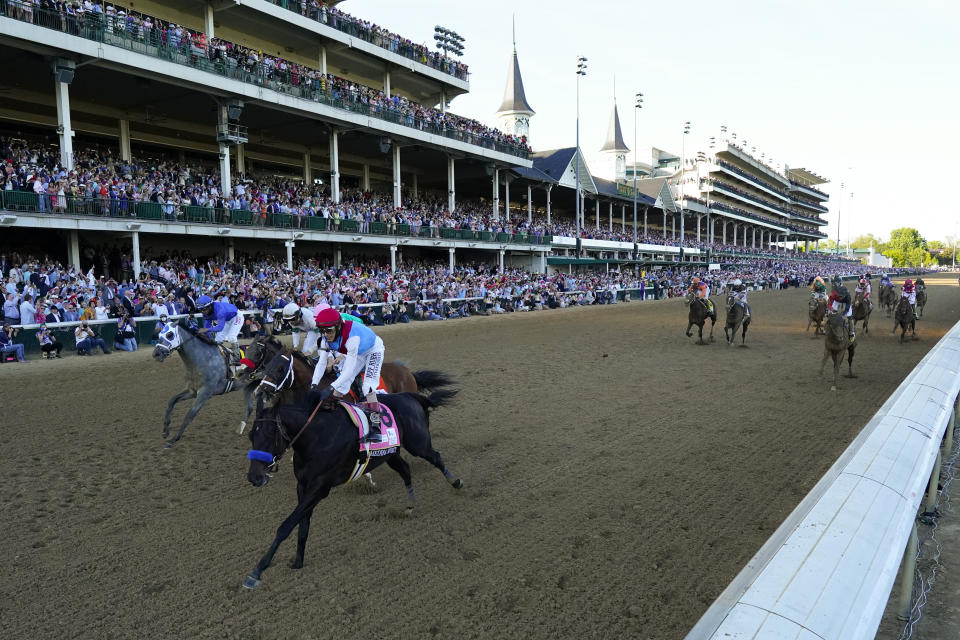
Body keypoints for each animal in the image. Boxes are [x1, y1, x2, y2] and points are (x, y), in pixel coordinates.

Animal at [242, 384, 464, 592]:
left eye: (270, 435)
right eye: (251, 435)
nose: (254, 477)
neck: (316, 436)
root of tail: (410, 396)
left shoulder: (320, 487)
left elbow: (286, 525)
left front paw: (257, 571)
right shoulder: (303, 485)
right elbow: (302, 525)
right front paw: (298, 561)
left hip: (418, 444)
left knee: (436, 457)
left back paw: (456, 482)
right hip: (391, 453)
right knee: (405, 470)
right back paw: (411, 505)